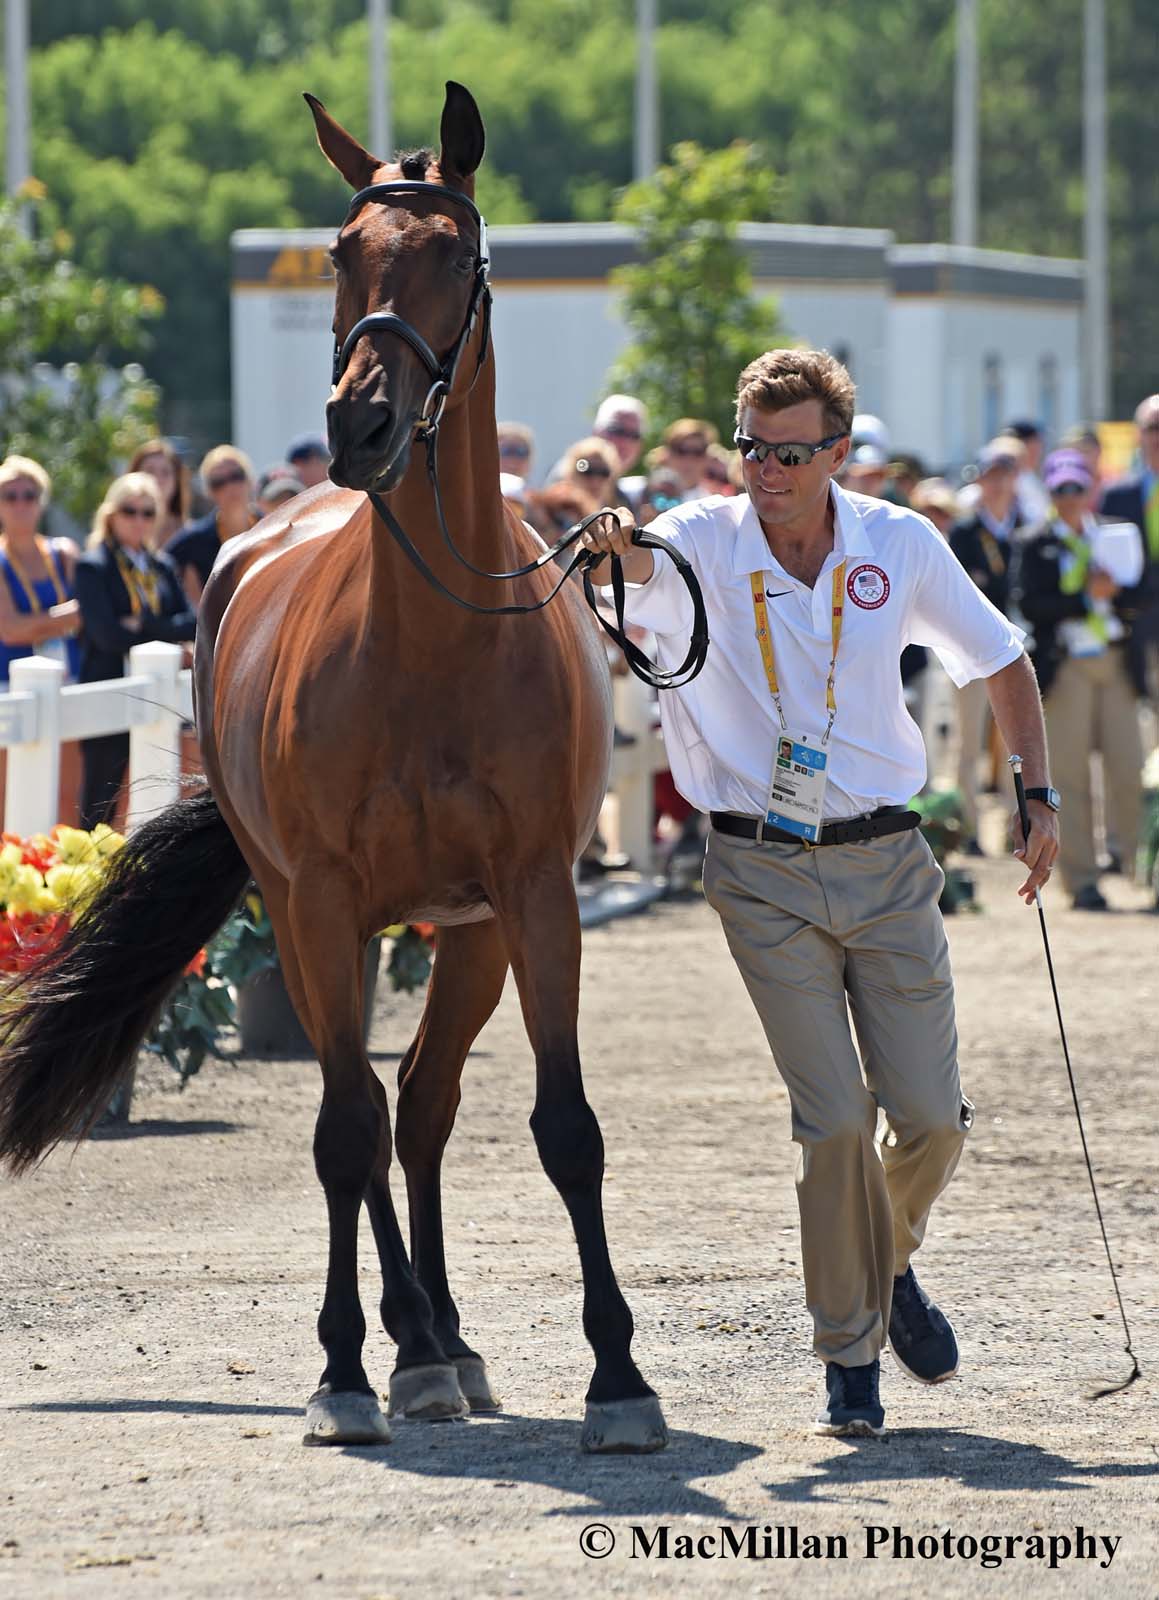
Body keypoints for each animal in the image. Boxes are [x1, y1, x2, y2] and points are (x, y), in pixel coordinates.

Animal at [0, 87, 665, 1465]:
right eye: (341, 255)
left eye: (455, 258)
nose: (357, 426)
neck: (433, 648)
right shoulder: (315, 903)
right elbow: (342, 1128)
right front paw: (355, 1368)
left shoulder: (534, 897)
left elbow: (560, 1128)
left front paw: (617, 1377)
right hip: (316, 923)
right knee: (355, 1116)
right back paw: (399, 1347)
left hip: (462, 933)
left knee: (420, 1103)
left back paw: (447, 1336)